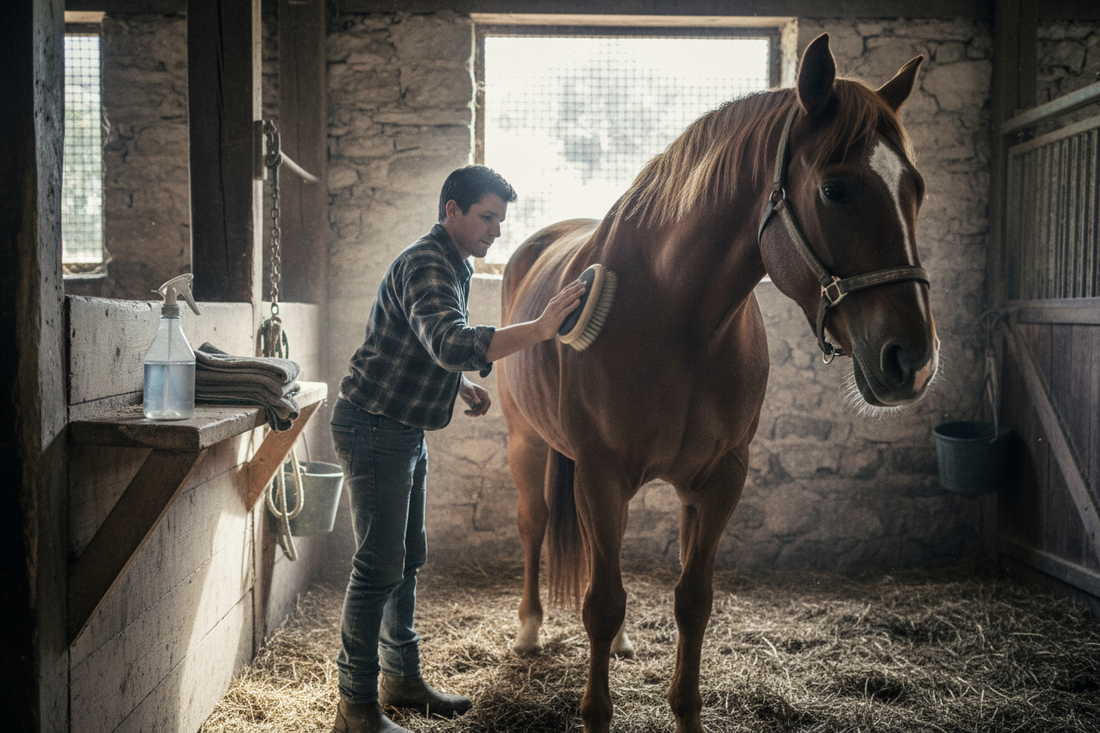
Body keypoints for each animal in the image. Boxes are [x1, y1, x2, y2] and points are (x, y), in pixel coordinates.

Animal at [497, 34, 938, 733]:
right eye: (835, 189)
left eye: (915, 189)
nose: (913, 360)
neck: (679, 320)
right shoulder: (599, 473)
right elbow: (601, 603)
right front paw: (597, 711)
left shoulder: (720, 478)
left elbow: (692, 600)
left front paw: (685, 709)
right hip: (529, 446)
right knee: (536, 524)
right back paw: (530, 630)